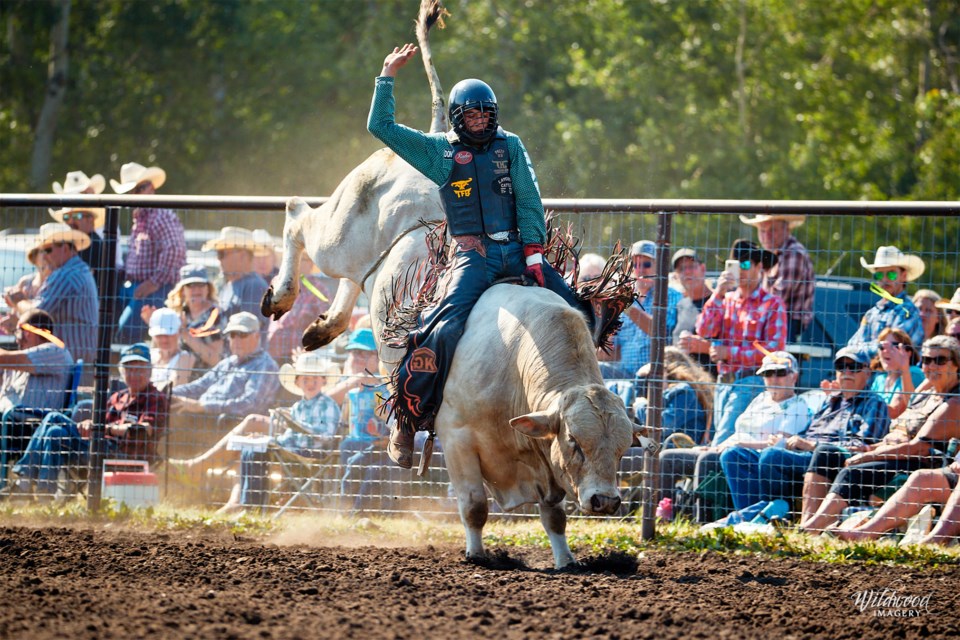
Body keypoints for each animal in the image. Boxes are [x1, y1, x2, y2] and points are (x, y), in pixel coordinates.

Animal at [258, 151, 640, 568]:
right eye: (574, 441)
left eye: (623, 447)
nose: (606, 501)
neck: (515, 364)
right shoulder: (458, 439)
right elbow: (474, 506)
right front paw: (476, 555)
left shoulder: (540, 455)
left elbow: (553, 515)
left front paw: (565, 560)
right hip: (337, 237)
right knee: (297, 215)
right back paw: (281, 295)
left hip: (357, 265)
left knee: (349, 281)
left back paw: (323, 328)